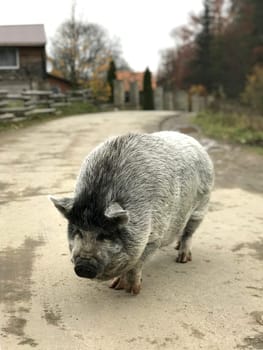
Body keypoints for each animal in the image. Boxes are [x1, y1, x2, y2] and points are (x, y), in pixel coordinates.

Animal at [49, 131, 214, 296]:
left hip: (201, 206)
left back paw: (182, 259)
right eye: (78, 231)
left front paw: (131, 291)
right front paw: (114, 286)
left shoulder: (154, 237)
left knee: (188, 232)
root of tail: (192, 140)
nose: (83, 266)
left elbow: (136, 264)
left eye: (105, 235)